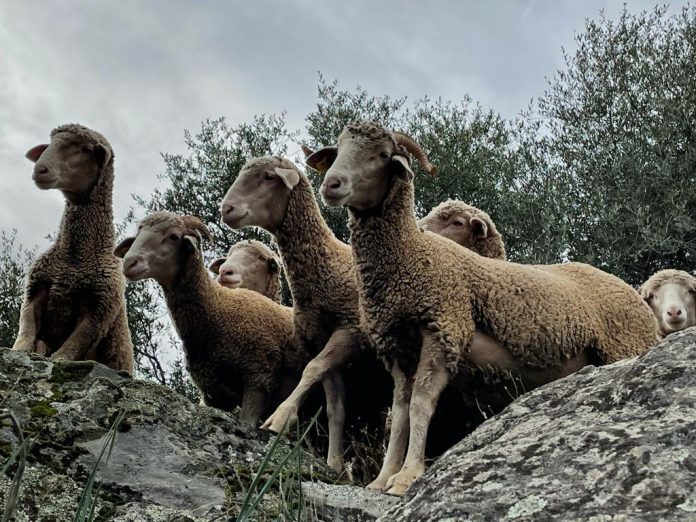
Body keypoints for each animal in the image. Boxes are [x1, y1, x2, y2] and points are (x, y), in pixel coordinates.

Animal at [11, 123, 133, 374]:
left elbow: (69, 349)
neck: (74, 257)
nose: (40, 169)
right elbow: (26, 331)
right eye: (49, 144)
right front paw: (22, 352)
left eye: (85, 149)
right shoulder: (34, 291)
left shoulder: (99, 310)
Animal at [114, 211, 297, 425]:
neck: (217, 311)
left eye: (174, 236)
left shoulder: (259, 380)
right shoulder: (214, 394)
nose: (129, 262)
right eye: (139, 233)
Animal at [309, 121, 659, 495]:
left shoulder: (444, 329)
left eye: (383, 154)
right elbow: (401, 410)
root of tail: (634, 294)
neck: (412, 255)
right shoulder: (398, 346)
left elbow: (420, 404)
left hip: (624, 347)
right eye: (340, 149)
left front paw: (406, 477)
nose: (331, 184)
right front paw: (382, 478)